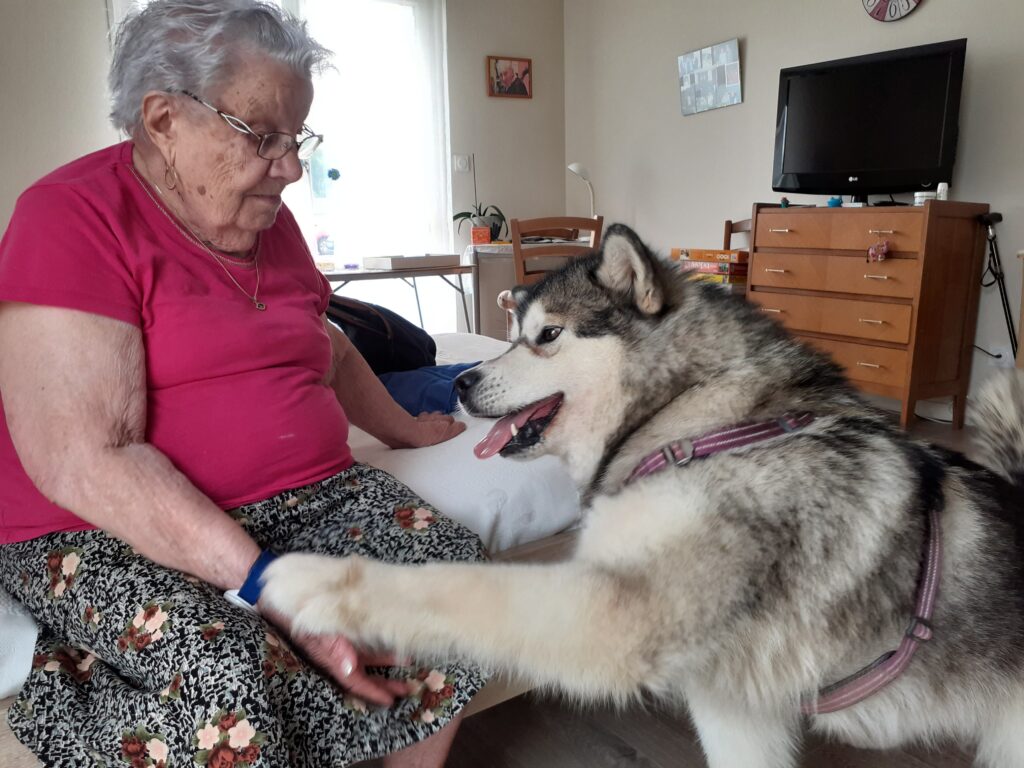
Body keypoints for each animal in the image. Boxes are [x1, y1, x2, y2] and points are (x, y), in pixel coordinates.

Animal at [264, 224, 1024, 768]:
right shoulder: (733, 706)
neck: (695, 422)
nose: (461, 383)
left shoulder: (618, 615)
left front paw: (317, 583)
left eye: (546, 337)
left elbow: (459, 587)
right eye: (511, 335)